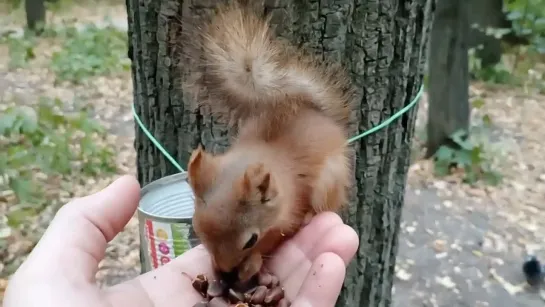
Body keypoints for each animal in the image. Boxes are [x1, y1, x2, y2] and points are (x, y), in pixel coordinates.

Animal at [181, 0, 354, 284]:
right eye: (197, 227)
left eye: (251, 240)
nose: (225, 271)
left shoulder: (289, 213)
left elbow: (277, 238)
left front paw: (252, 264)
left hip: (329, 182)